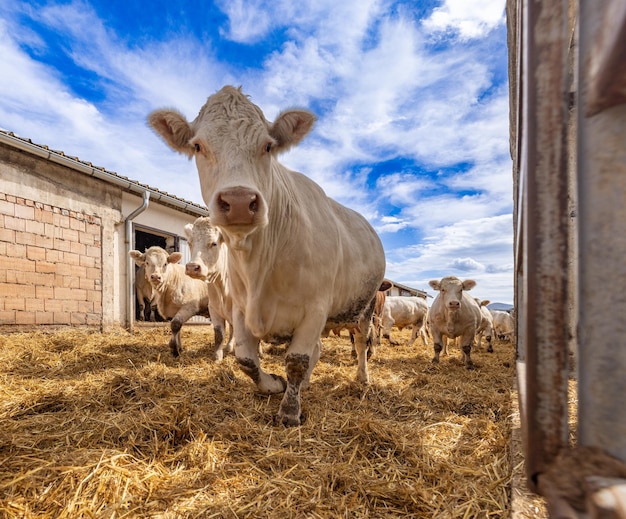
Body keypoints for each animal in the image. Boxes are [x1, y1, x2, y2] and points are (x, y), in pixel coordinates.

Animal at [147, 85, 386, 426]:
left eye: (268, 146)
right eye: (198, 146)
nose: (238, 200)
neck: (260, 266)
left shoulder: (315, 307)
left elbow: (297, 359)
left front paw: (289, 411)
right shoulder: (240, 308)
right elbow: (246, 359)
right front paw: (275, 384)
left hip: (364, 308)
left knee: (363, 342)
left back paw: (362, 378)